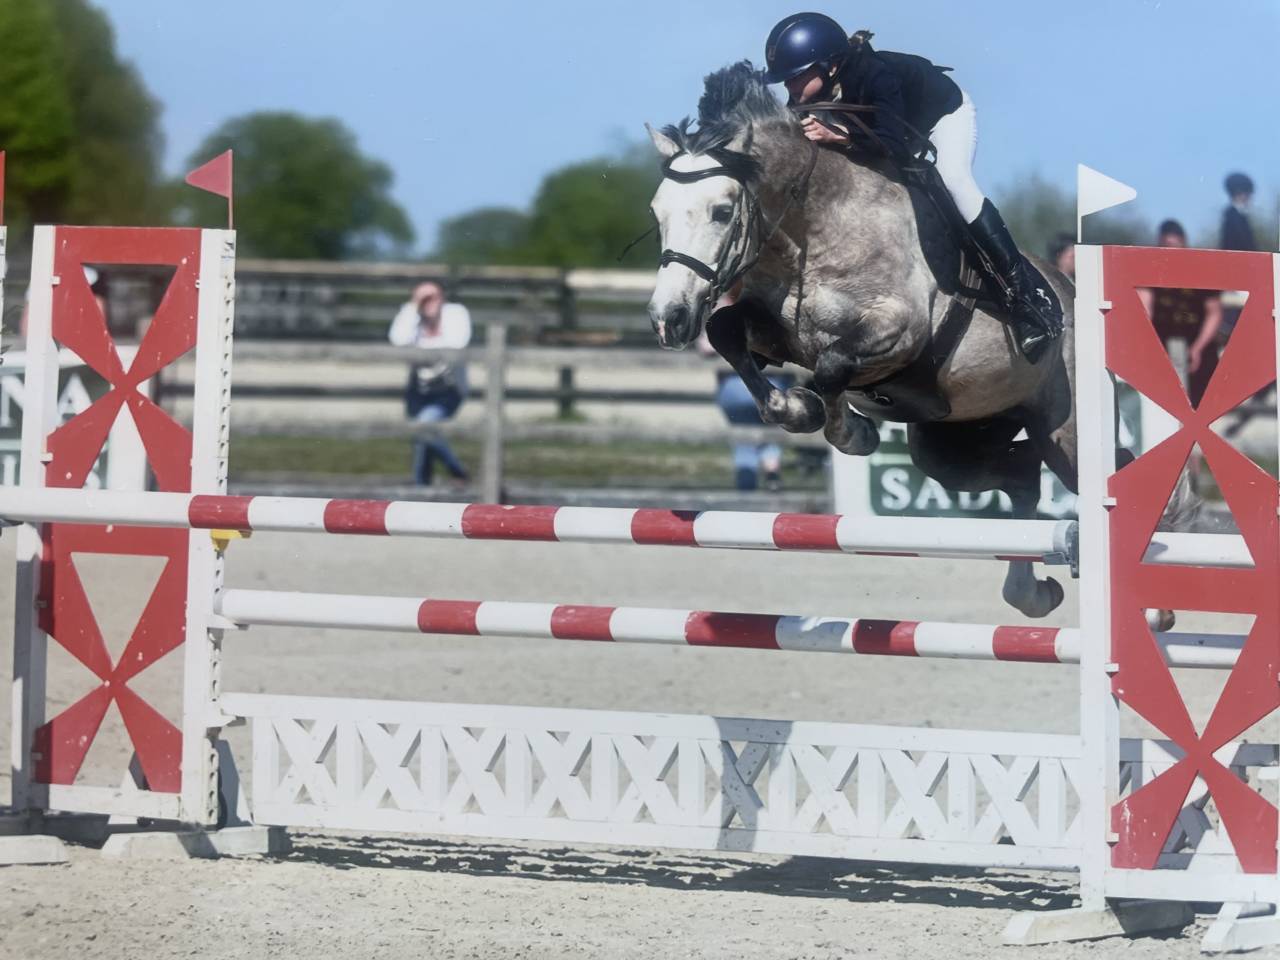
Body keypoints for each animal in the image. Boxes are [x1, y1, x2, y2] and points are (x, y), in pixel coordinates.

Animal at [644, 62, 1079, 618]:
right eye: (657, 212)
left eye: (722, 211)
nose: (668, 319)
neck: (813, 230)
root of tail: (1067, 288)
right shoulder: (778, 336)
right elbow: (728, 334)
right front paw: (796, 409)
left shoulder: (899, 332)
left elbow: (831, 368)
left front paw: (852, 432)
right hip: (953, 442)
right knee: (1021, 476)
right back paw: (1033, 594)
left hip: (1063, 432)